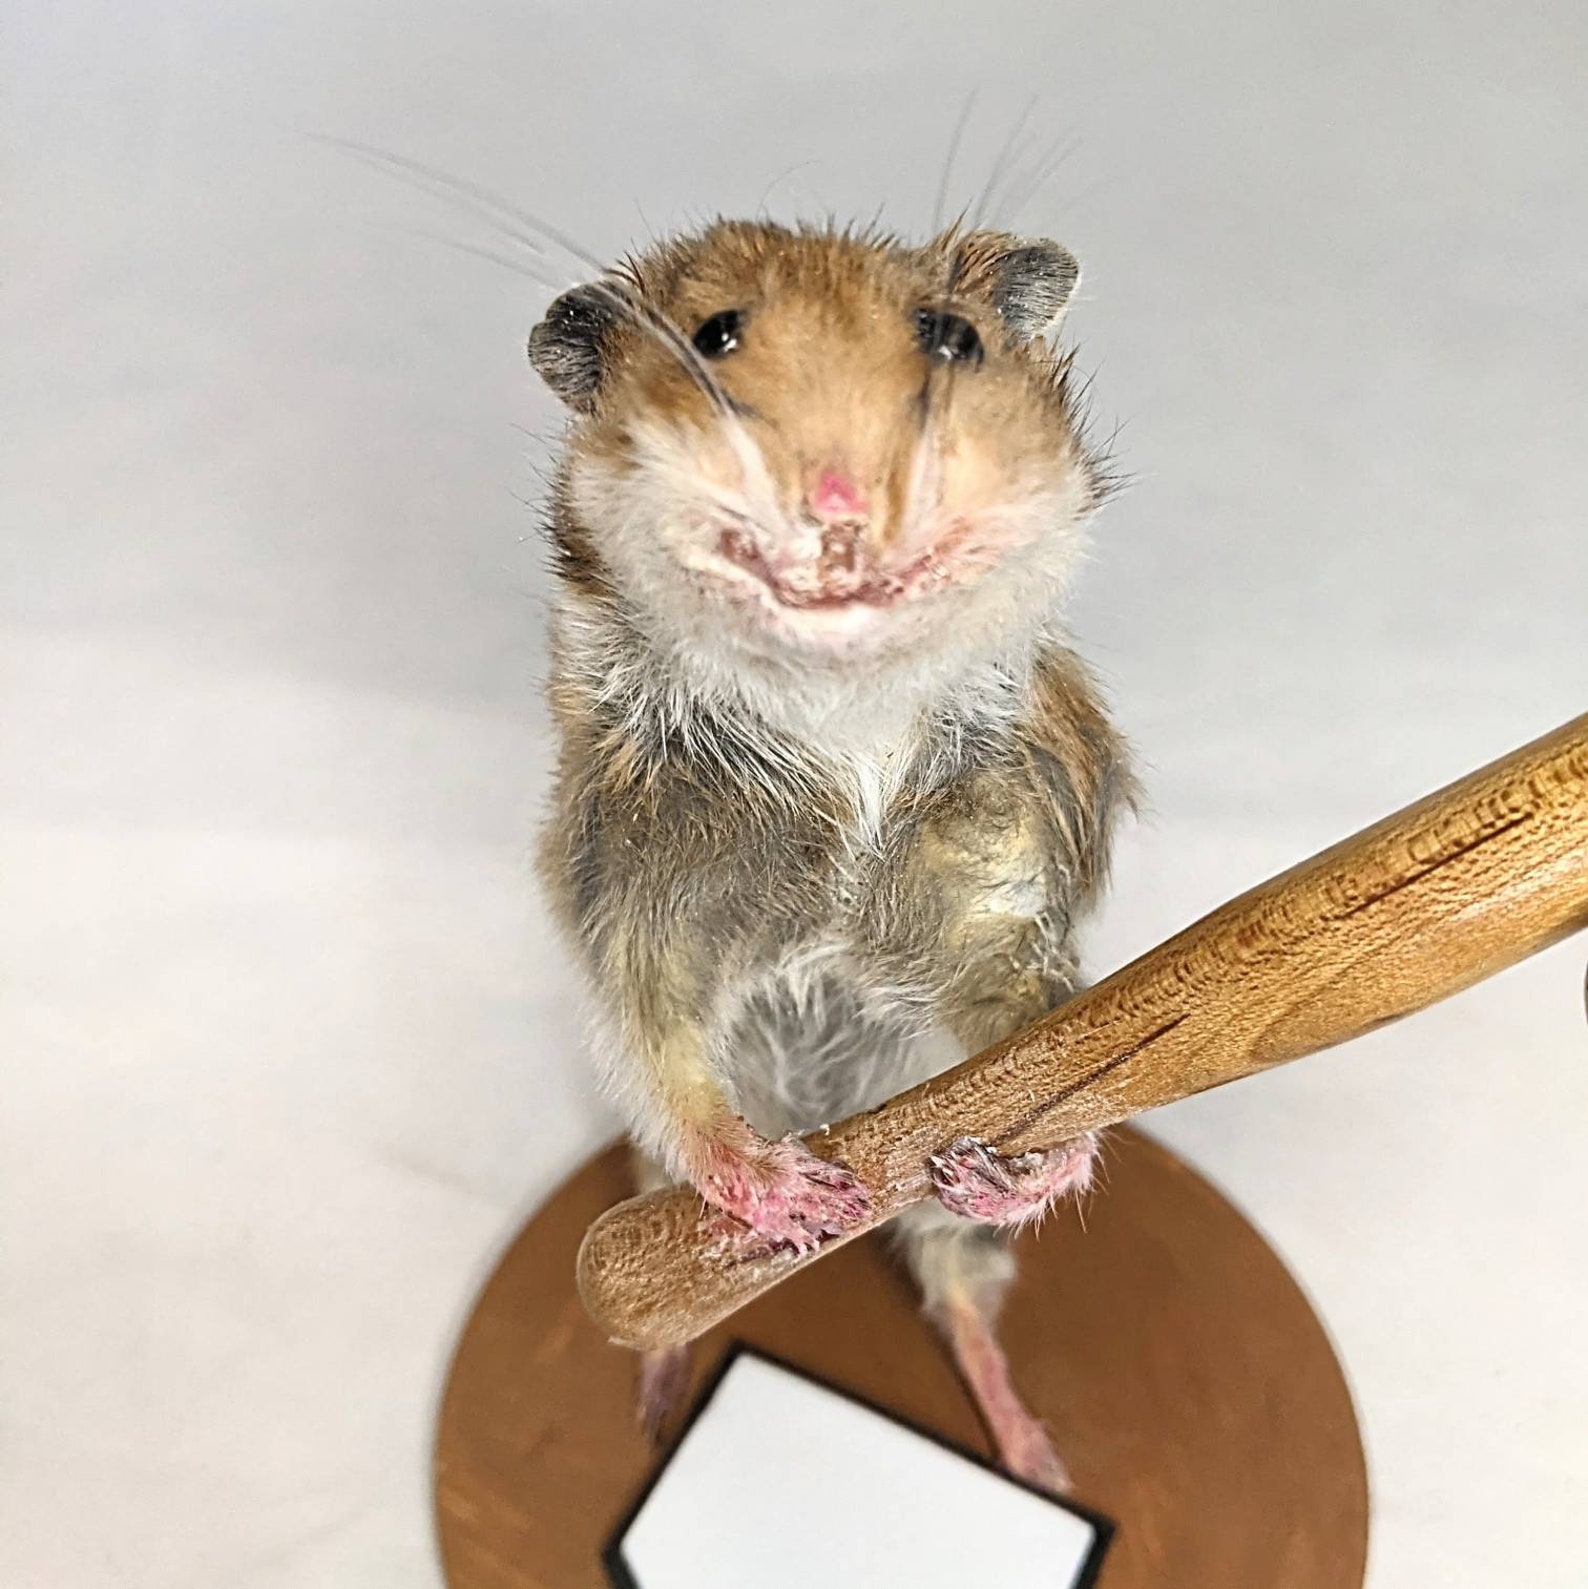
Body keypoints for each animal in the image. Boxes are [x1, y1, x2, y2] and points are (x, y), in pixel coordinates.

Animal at [529, 218, 1133, 1492]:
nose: (844, 503)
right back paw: (659, 1395)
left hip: (952, 1229)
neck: (842, 709)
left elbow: (1040, 1021)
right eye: (714, 337)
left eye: (952, 339)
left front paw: (1036, 1155)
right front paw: (793, 1196)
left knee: (961, 1283)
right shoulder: (634, 890)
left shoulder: (1001, 889)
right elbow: (663, 1047)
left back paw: (1036, 1452)